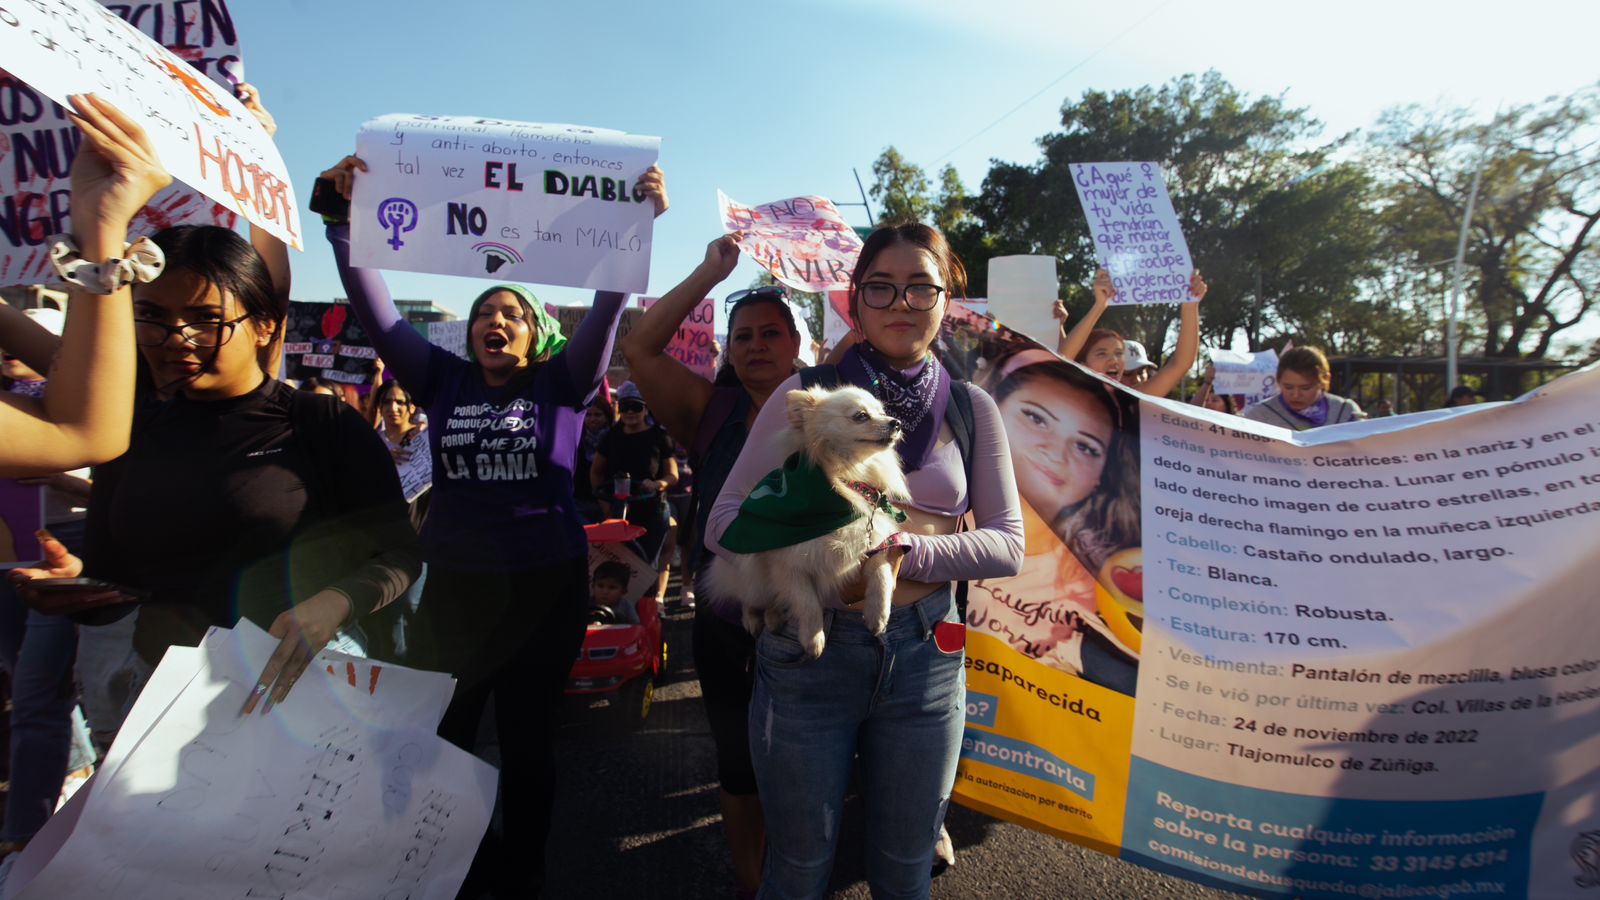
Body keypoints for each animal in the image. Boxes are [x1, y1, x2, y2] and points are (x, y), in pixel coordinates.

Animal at [704, 381, 908, 656]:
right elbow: (807, 602)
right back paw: (753, 618)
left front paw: (878, 615)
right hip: (751, 574)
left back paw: (773, 618)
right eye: (861, 416)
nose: (896, 422)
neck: (846, 482)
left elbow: (882, 574)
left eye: (882, 412)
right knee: (748, 596)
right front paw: (813, 639)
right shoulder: (788, 565)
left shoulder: (872, 543)